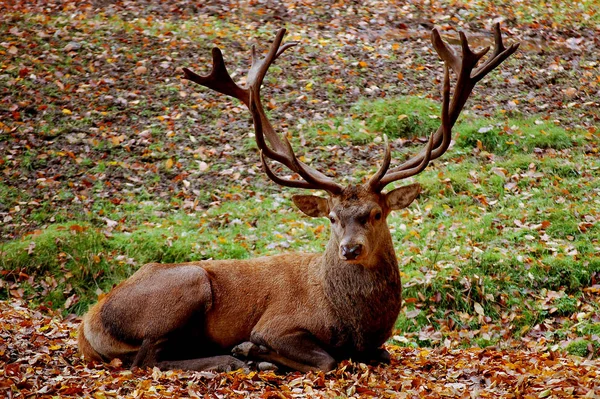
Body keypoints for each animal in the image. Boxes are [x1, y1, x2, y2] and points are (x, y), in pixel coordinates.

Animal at [79, 25, 516, 374]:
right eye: (332, 218)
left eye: (375, 213)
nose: (350, 250)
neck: (355, 321)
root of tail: (88, 323)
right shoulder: (278, 322)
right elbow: (327, 358)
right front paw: (253, 350)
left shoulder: (374, 344)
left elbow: (380, 354)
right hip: (188, 285)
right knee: (146, 357)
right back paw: (235, 358)